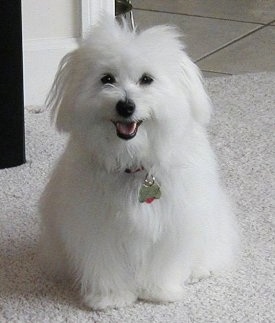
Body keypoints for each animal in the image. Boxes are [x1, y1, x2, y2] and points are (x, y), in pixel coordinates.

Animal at [38, 17, 239, 312]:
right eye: (107, 79)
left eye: (147, 79)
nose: (125, 106)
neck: (133, 160)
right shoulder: (97, 227)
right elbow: (105, 264)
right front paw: (111, 298)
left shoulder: (172, 222)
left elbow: (163, 262)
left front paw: (159, 291)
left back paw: (199, 270)